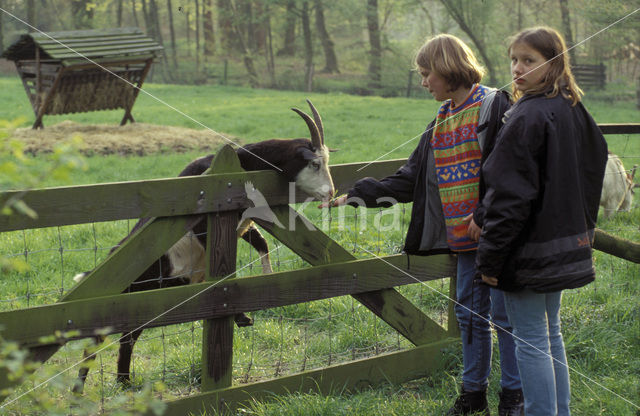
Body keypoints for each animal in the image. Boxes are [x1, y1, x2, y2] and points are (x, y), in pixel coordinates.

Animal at [72, 101, 338, 394]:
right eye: (314, 163)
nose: (330, 193)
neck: (243, 164)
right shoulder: (207, 228)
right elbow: (224, 268)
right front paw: (240, 315)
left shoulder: (243, 221)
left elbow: (262, 242)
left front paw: (267, 279)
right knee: (93, 346)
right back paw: (79, 391)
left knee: (127, 339)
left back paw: (124, 382)